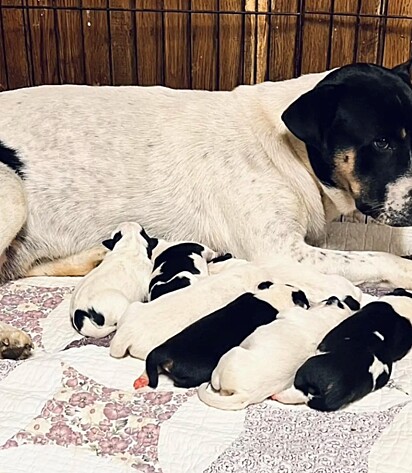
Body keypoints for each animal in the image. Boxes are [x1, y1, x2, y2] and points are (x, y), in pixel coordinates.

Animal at [198, 296, 358, 410]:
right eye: (341, 304)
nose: (334, 297)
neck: (326, 320)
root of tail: (245, 395)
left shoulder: (289, 312)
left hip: (231, 354)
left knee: (216, 384)